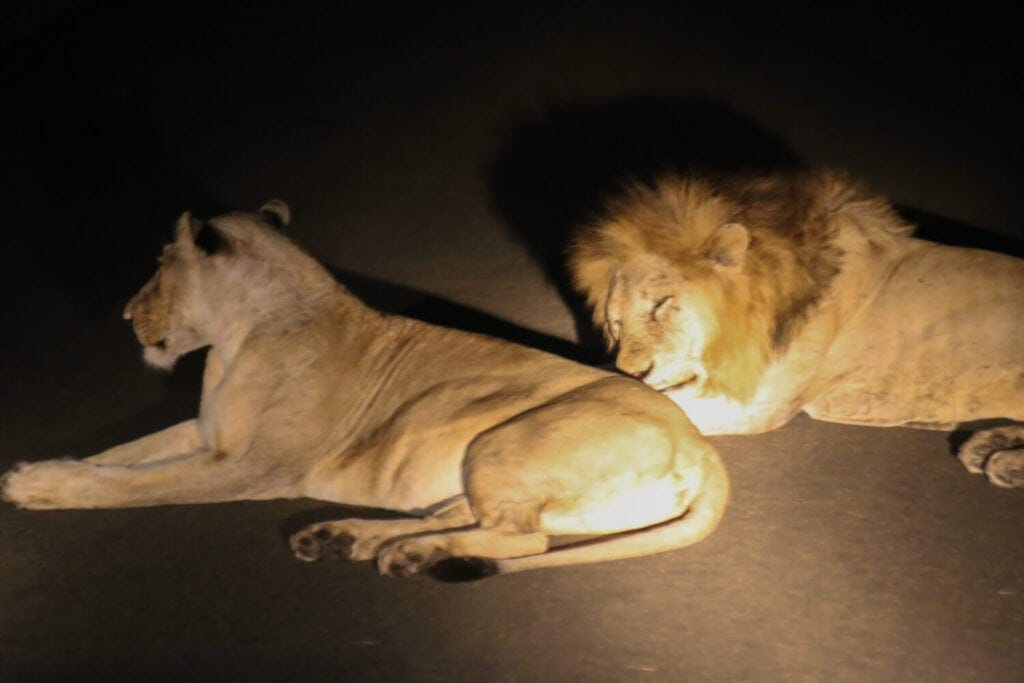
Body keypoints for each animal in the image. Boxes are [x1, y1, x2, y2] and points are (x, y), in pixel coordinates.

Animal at [1, 202, 728, 578]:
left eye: (158, 267)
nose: (127, 316)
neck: (235, 337)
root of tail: (703, 446)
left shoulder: (249, 466)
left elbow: (132, 485)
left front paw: (39, 486)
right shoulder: (205, 433)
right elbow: (120, 455)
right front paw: (45, 467)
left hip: (504, 442)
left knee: (523, 542)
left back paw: (407, 553)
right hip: (491, 470)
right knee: (461, 517)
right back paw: (356, 539)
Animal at [569, 170, 1024, 488]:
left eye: (662, 305)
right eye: (615, 324)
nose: (633, 369)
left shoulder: (758, 404)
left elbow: (657, 403)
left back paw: (1003, 462)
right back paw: (987, 448)